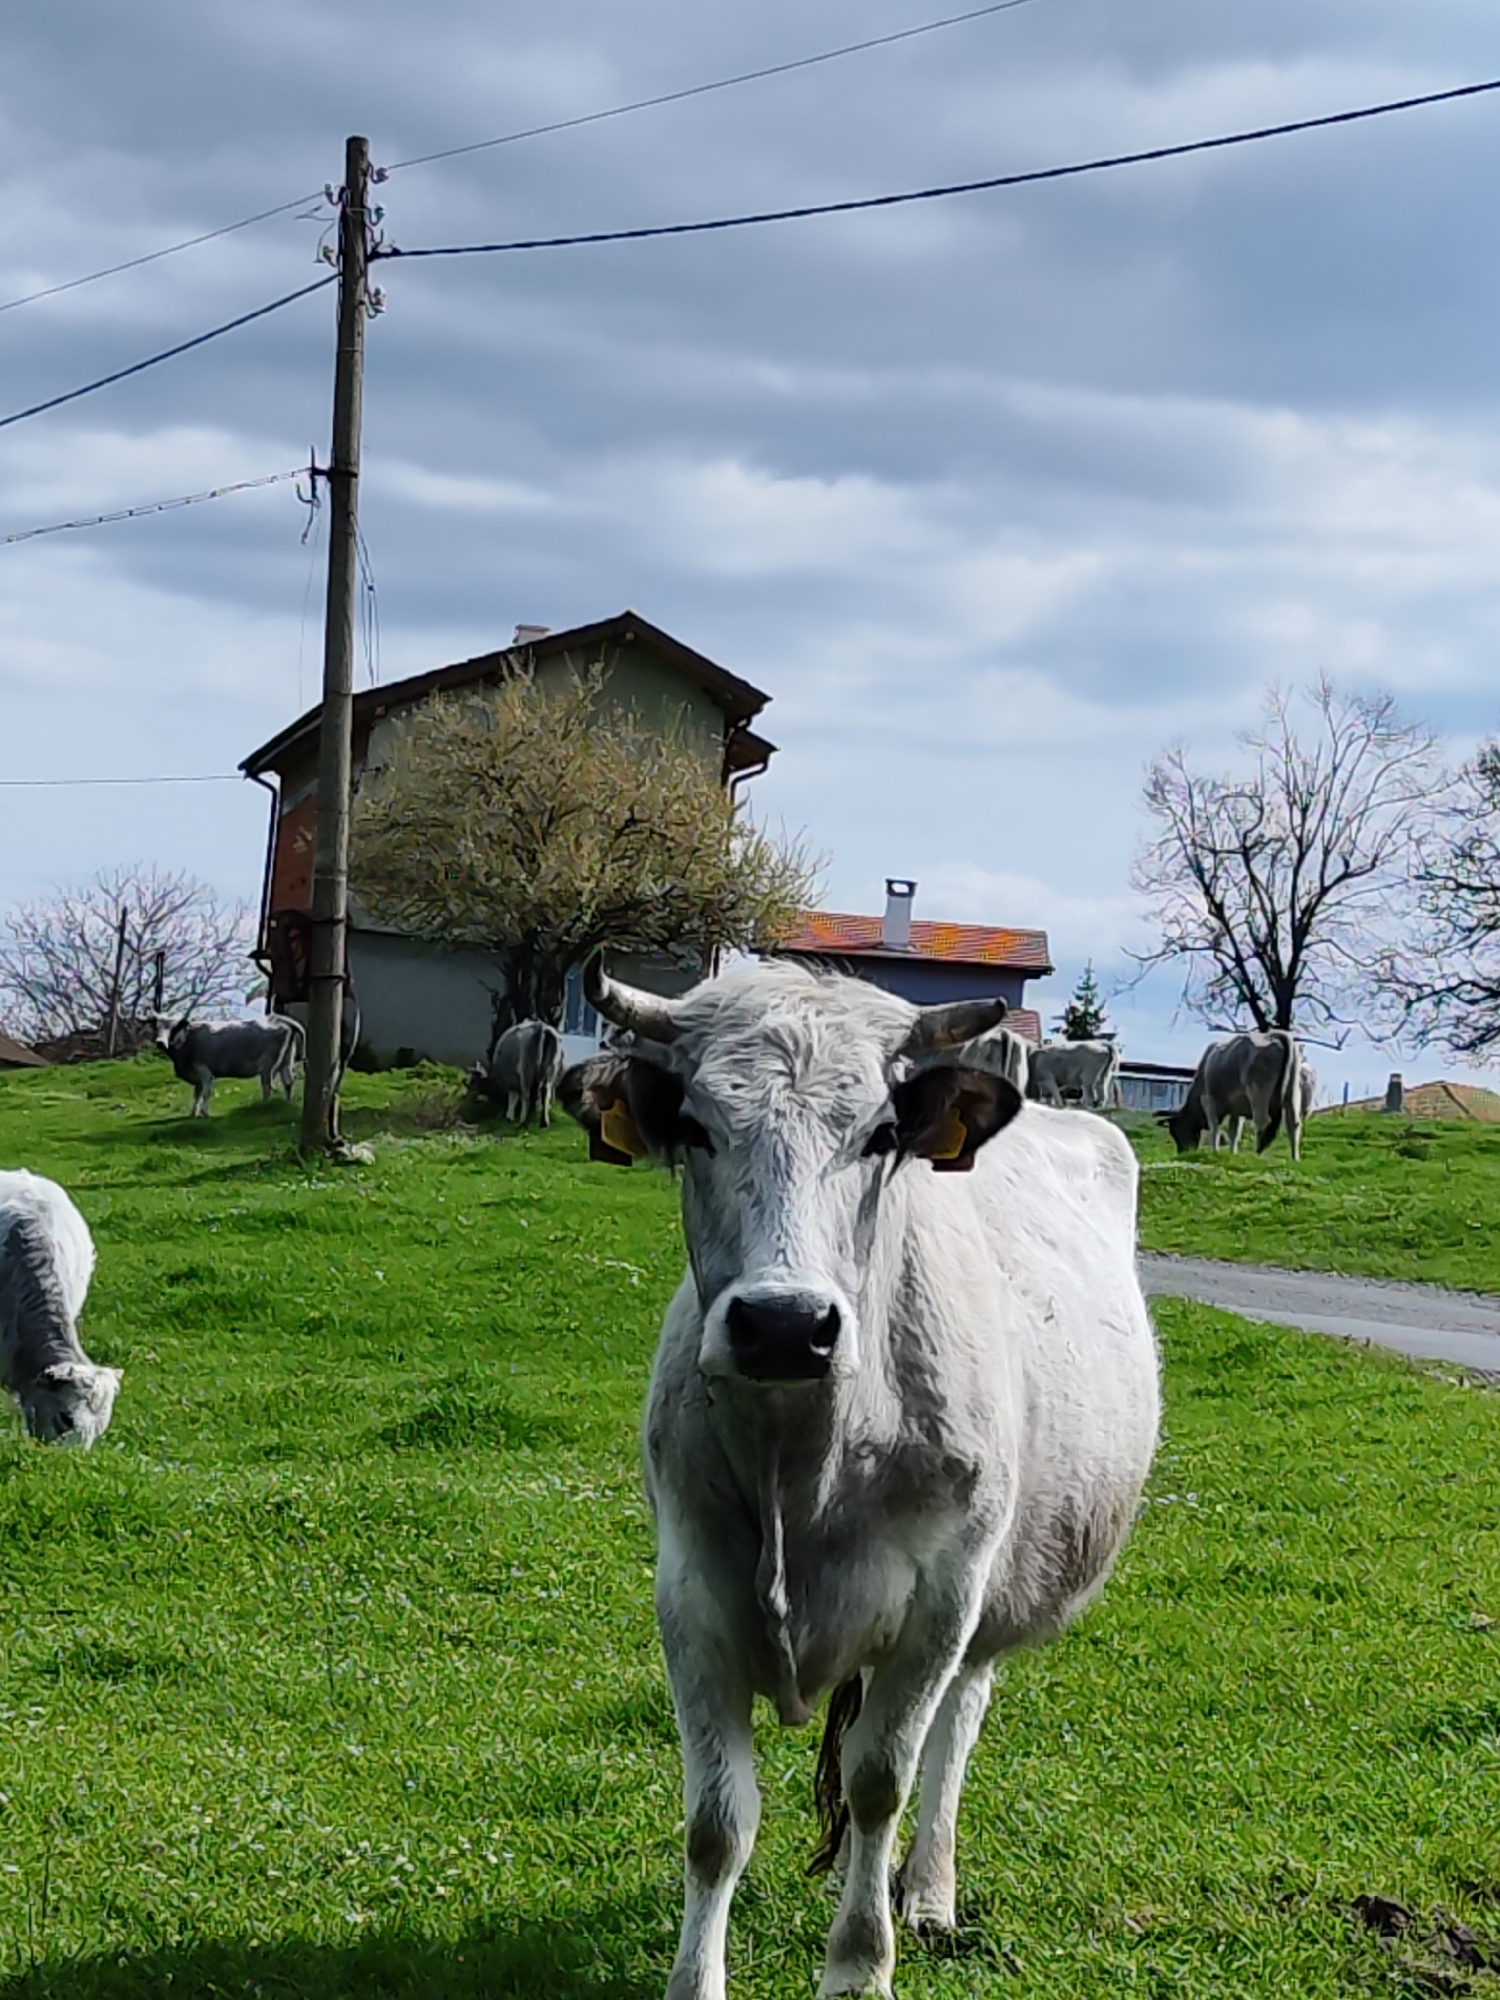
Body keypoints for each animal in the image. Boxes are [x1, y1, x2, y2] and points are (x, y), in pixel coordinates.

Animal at [155, 1014, 304, 1118]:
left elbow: (205, 1091)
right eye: (156, 1028)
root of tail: (281, 1020)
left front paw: (204, 1113)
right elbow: (198, 1092)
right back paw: (288, 1104)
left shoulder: (203, 1070)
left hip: (267, 1066)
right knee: (288, 1082)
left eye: (172, 1030)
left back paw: (265, 1106)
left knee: (268, 1087)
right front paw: (194, 1113)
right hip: (286, 1061)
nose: (160, 1043)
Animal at [562, 959, 1160, 2000]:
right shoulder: (690, 1597)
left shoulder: (941, 1602)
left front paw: (858, 1966)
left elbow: (882, 1779)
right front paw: (697, 1978)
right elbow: (716, 1822)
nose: (784, 1325)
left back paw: (924, 1893)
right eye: (696, 1127)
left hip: (989, 1598)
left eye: (881, 1135)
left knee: (952, 1732)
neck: (805, 1461)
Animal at [1159, 1029, 1305, 1161]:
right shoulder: (1236, 1110)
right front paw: (1232, 1153)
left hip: (1259, 1094)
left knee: (1262, 1122)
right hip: (1293, 1093)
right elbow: (1234, 1132)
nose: (1182, 1152)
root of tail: (1271, 1036)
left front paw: (1215, 1152)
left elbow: (1214, 1128)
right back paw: (1295, 1158)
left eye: (1175, 1130)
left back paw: (1257, 1154)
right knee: (1293, 1123)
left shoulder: (1208, 1100)